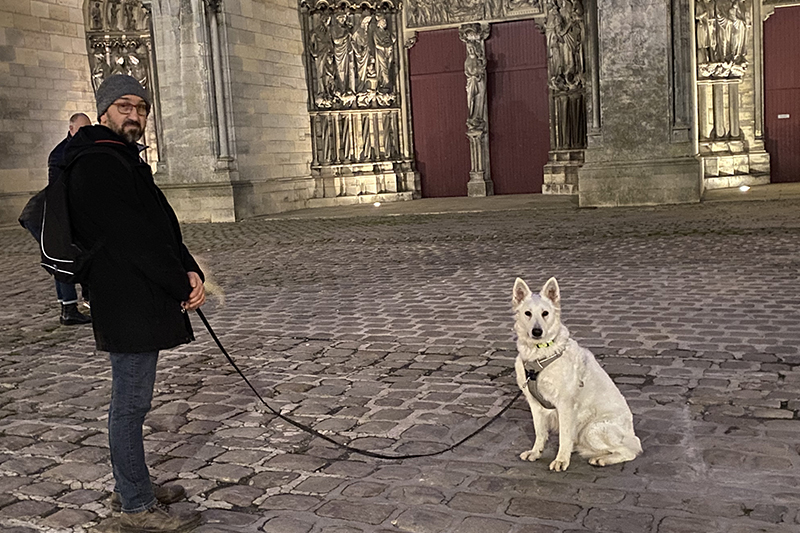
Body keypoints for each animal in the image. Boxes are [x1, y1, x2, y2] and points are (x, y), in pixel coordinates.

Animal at [516, 276, 640, 472]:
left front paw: (561, 460)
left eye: (545, 313)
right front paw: (536, 452)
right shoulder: (534, 404)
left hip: (592, 430)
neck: (541, 354)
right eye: (528, 313)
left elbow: (564, 437)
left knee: (630, 451)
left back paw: (602, 460)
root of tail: (630, 432)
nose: (537, 331)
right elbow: (539, 432)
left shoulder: (565, 405)